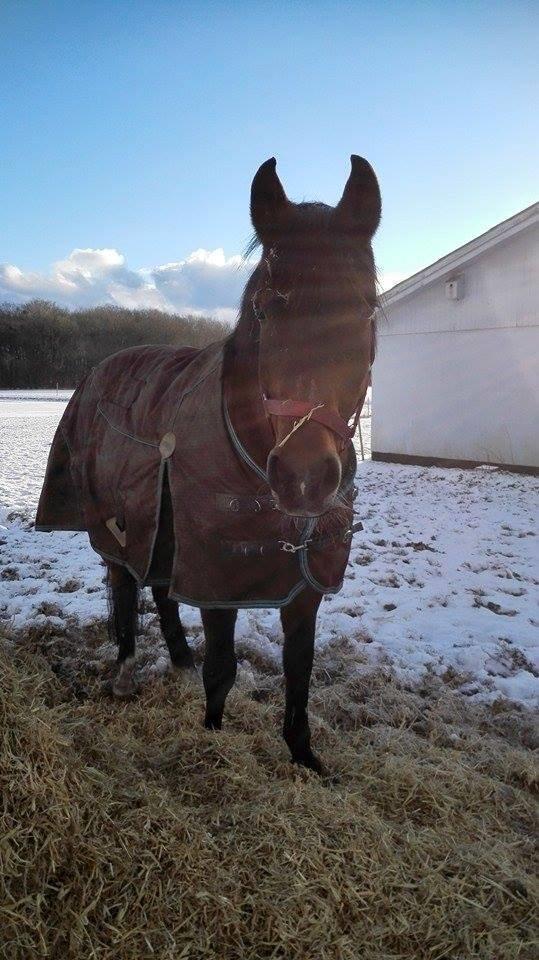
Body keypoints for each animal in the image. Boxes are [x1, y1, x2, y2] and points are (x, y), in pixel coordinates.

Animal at [35, 158, 382, 772]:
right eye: (266, 308)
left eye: (368, 308)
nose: (304, 477)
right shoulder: (219, 575)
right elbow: (223, 668)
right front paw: (213, 741)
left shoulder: (306, 581)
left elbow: (299, 669)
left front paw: (304, 756)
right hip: (119, 523)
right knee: (126, 584)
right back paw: (125, 672)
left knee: (158, 589)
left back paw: (177, 662)